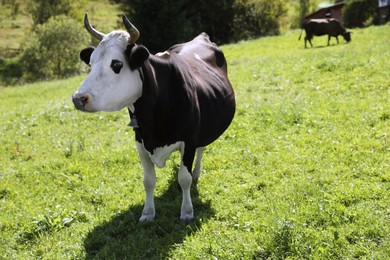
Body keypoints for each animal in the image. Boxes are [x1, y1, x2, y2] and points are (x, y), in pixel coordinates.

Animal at [72, 14, 236, 221]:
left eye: (116, 64)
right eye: (91, 64)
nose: (78, 98)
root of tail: (200, 37)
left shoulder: (189, 140)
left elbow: (184, 178)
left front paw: (187, 211)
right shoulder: (140, 142)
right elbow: (148, 180)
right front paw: (148, 212)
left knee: (201, 149)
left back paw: (197, 172)